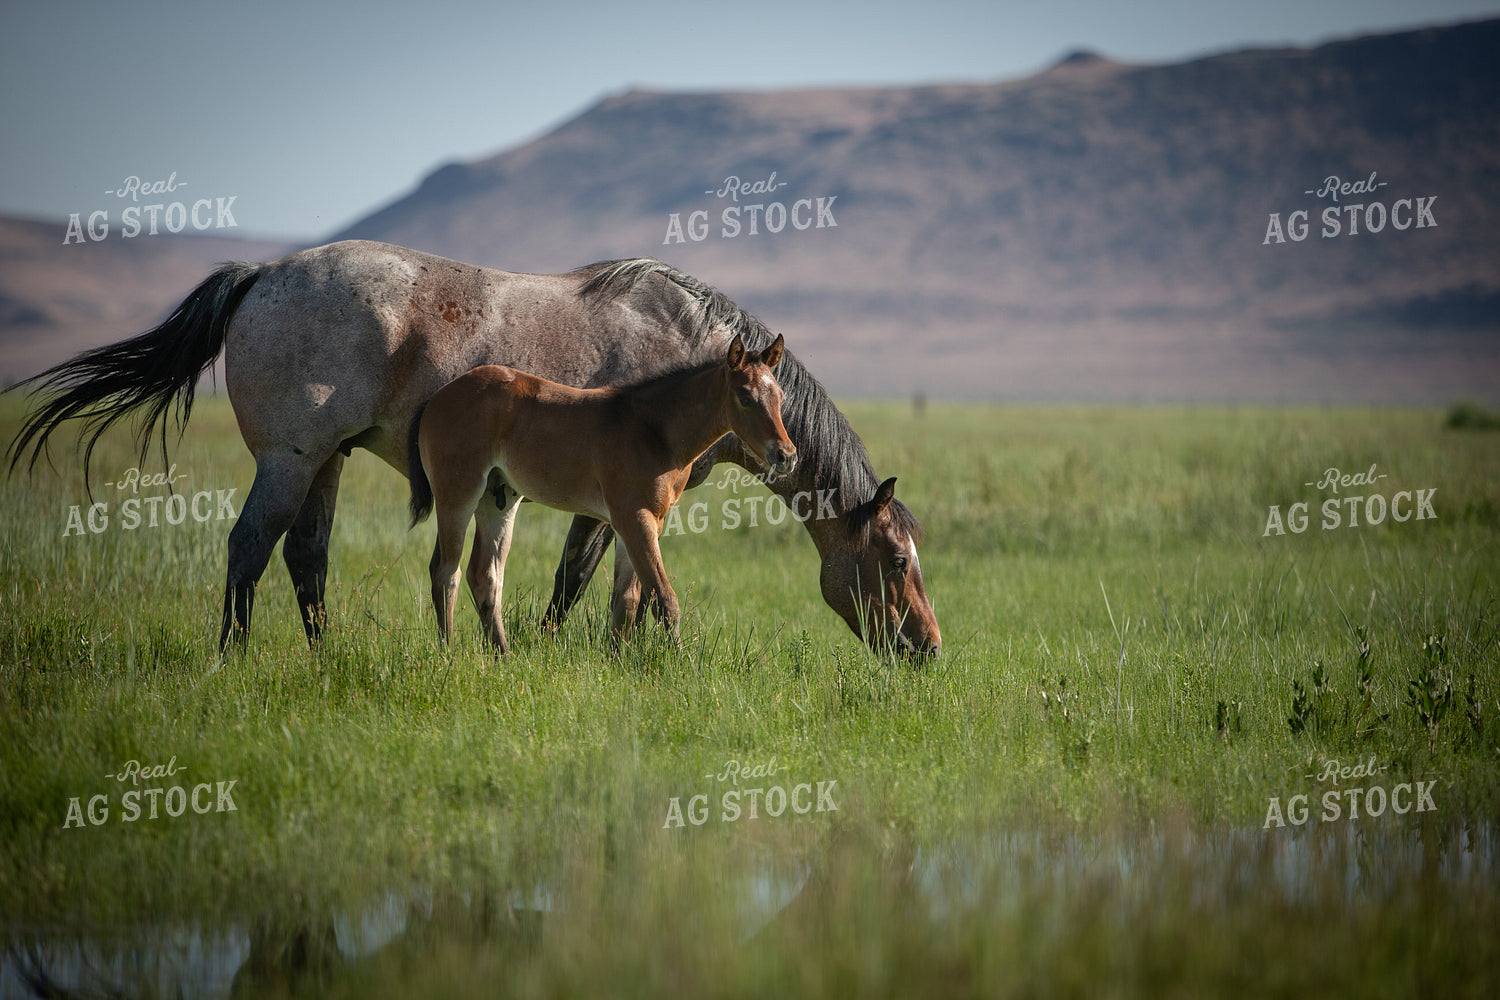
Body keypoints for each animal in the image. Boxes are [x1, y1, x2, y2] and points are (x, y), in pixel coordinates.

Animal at [409, 334, 794, 649]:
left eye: (780, 395)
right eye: (745, 397)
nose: (786, 454)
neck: (653, 429)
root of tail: (436, 398)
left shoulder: (644, 522)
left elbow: (627, 601)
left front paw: (619, 661)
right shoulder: (632, 517)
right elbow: (665, 599)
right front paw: (677, 663)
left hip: (498, 501)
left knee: (484, 576)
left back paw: (502, 655)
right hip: (457, 496)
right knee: (446, 572)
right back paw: (449, 655)